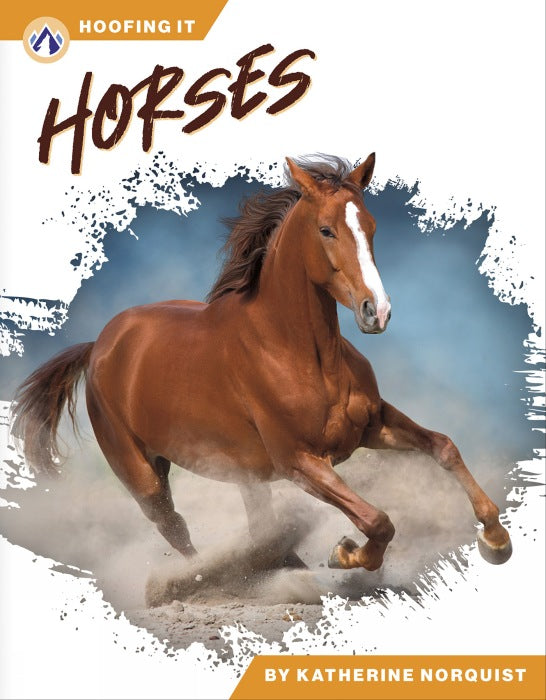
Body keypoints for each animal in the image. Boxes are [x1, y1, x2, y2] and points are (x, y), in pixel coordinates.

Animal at [11, 153, 512, 572]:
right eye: (326, 230)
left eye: (370, 227)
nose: (378, 311)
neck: (299, 355)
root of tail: (101, 344)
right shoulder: (300, 462)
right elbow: (378, 520)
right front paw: (345, 554)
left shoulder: (373, 425)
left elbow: (444, 448)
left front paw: (496, 539)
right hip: (142, 475)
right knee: (175, 526)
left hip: (244, 472)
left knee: (259, 527)